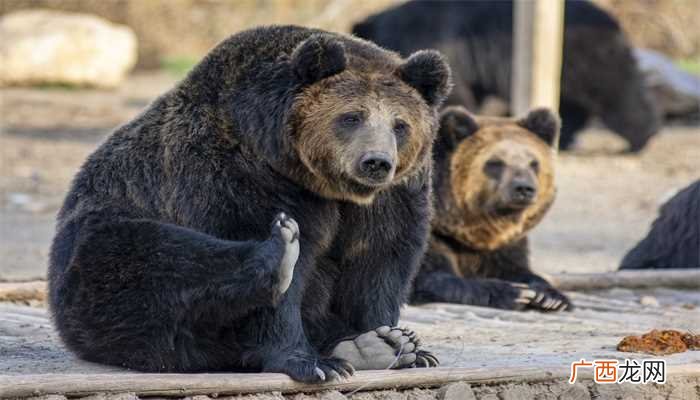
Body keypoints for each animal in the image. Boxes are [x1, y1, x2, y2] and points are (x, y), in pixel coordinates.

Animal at [47, 25, 450, 382]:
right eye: (351, 117)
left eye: (400, 124)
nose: (376, 162)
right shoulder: (240, 177)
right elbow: (269, 275)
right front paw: (310, 362)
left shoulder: (390, 198)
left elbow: (379, 259)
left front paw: (395, 341)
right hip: (95, 252)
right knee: (152, 258)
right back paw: (277, 257)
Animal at [411, 106, 572, 312]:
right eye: (495, 163)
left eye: (534, 163)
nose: (523, 188)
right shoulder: (433, 234)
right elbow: (429, 277)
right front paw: (515, 293)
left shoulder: (505, 244)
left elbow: (517, 269)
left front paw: (550, 297)